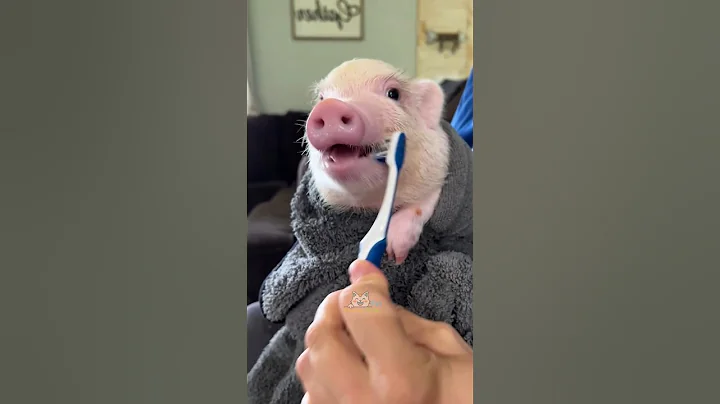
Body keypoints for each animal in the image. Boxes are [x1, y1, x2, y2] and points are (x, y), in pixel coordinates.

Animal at [303, 58, 451, 264]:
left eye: (393, 93)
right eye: (322, 98)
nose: (331, 107)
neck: (371, 205)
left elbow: (426, 199)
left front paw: (395, 256)